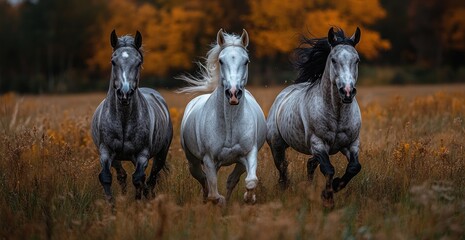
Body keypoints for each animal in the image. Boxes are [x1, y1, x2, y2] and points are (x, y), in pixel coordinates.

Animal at [90, 30, 172, 202]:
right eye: (113, 61)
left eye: (138, 62)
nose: (124, 93)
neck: (123, 119)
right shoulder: (106, 151)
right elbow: (106, 177)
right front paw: (112, 206)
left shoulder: (142, 155)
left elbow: (138, 179)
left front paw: (138, 204)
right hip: (118, 158)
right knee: (123, 176)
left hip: (160, 155)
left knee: (151, 179)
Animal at [178, 28, 264, 204]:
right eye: (221, 61)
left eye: (246, 61)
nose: (233, 93)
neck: (230, 124)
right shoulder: (209, 160)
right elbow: (214, 194)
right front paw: (221, 201)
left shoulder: (249, 153)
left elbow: (250, 181)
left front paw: (249, 198)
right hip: (193, 162)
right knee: (204, 181)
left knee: (230, 180)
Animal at [266, 26, 360, 208]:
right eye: (333, 60)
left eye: (357, 60)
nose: (347, 92)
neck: (337, 114)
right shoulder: (318, 143)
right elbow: (329, 170)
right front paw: (328, 198)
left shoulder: (351, 144)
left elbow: (354, 167)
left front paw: (335, 187)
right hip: (277, 145)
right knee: (283, 168)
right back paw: (284, 189)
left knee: (310, 164)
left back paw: (308, 189)